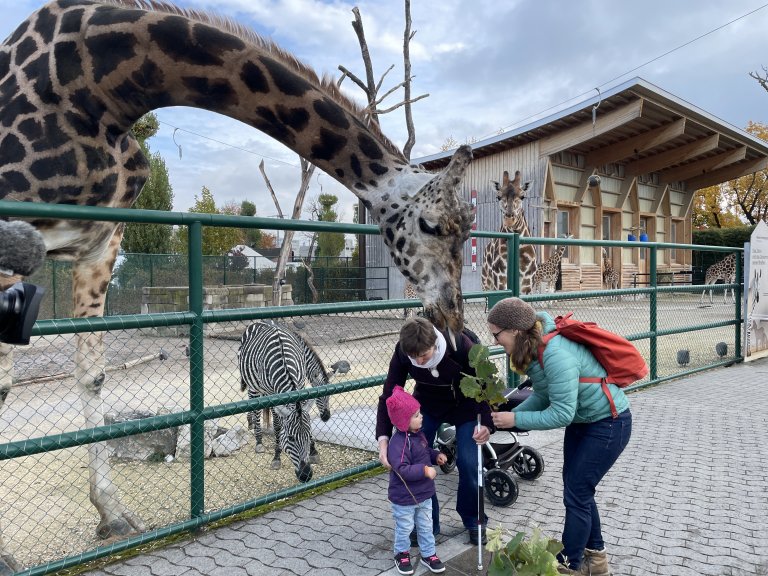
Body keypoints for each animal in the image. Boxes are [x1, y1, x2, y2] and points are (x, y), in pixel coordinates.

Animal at [237, 322, 340, 484]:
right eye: (291, 438)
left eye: (329, 394)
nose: (306, 476)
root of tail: (258, 323)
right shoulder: (273, 394)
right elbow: (278, 425)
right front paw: (277, 456)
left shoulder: (301, 384)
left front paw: (313, 451)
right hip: (253, 386)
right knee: (256, 410)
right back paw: (258, 440)